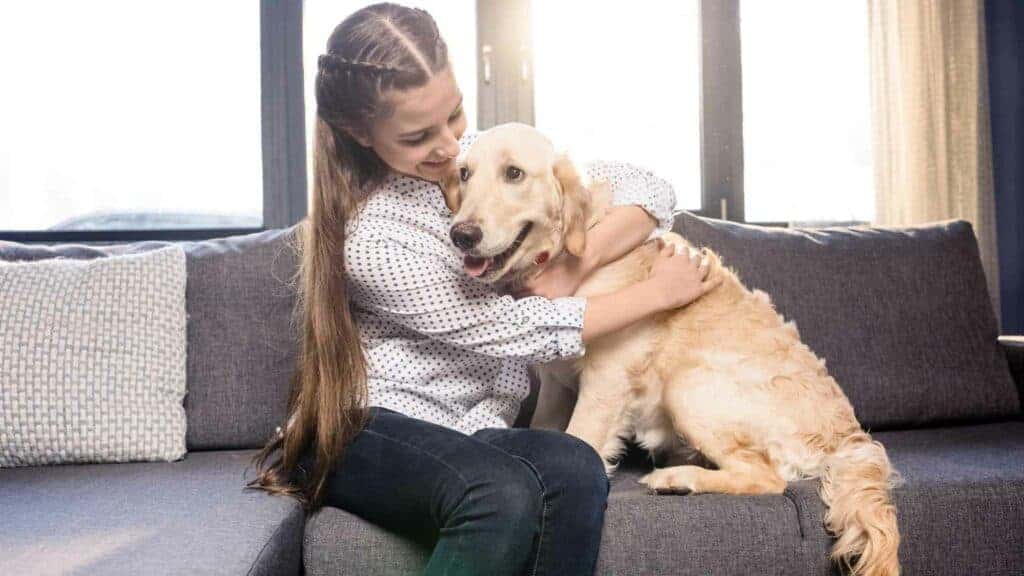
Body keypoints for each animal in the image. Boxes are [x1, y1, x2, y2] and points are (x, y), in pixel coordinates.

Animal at [444, 121, 901, 573]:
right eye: (464, 173)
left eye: (514, 174)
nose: (461, 235)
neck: (572, 252)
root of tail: (849, 438)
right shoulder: (557, 383)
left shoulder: (607, 375)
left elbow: (582, 441)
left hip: (688, 386)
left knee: (767, 477)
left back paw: (678, 479)